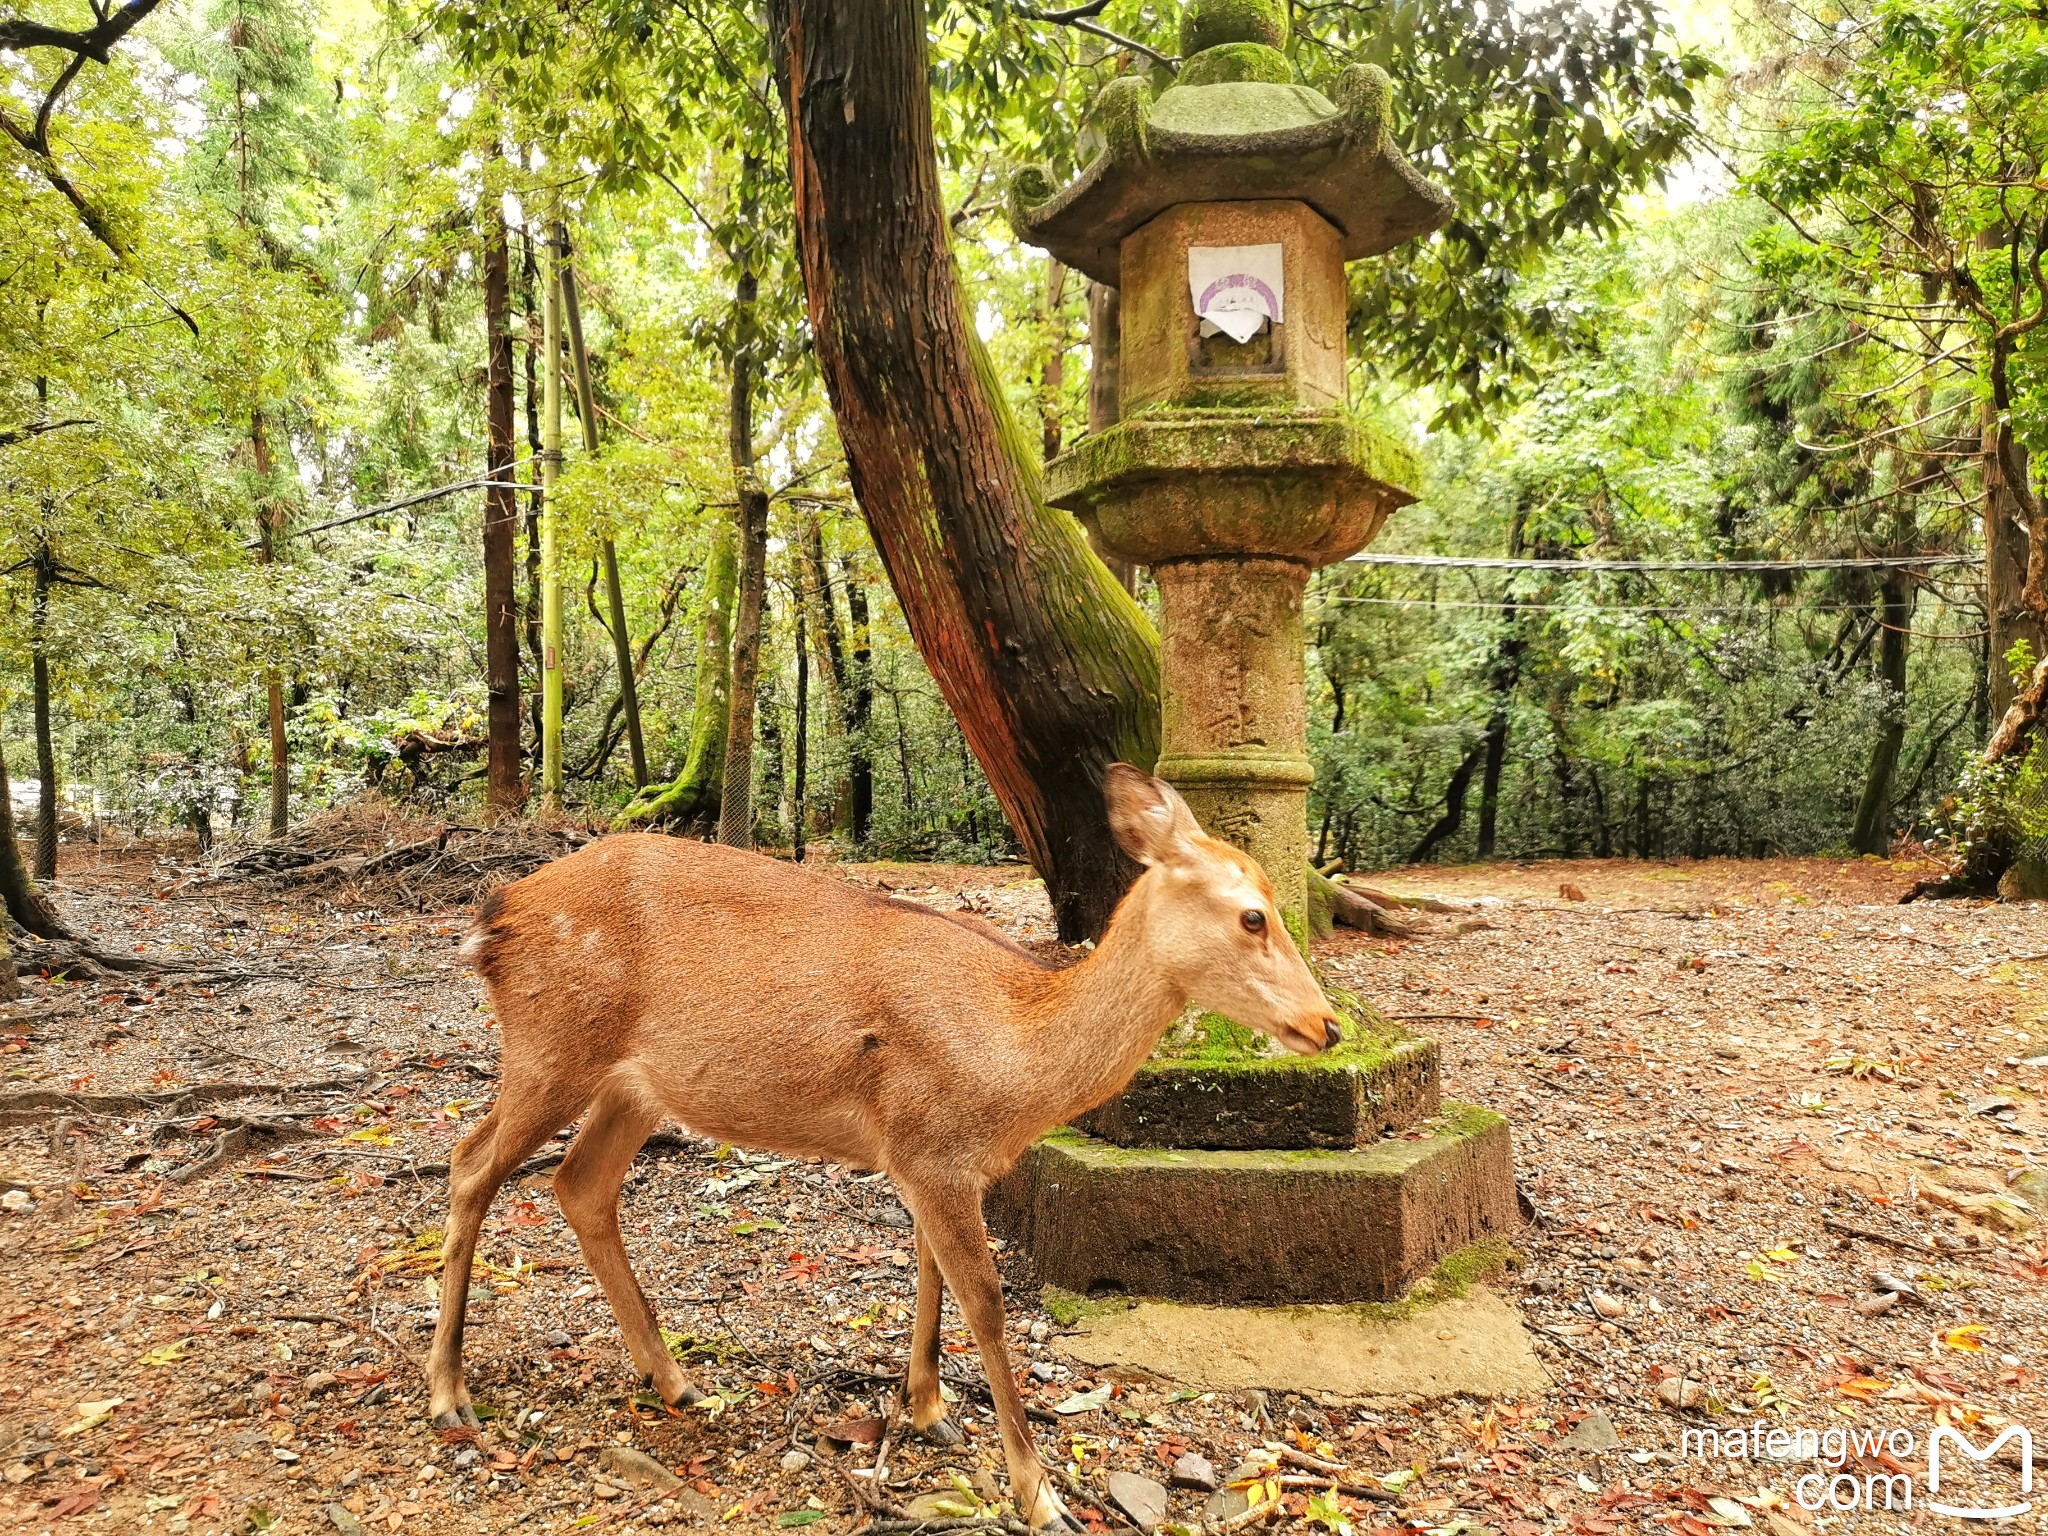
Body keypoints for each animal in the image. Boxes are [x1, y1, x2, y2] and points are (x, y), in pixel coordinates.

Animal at [428, 765, 1343, 1531]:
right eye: (1253, 914)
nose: (1327, 1025)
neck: (1019, 1062)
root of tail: (491, 920)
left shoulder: (927, 1156)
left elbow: (930, 1271)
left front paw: (931, 1411)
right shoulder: (932, 1145)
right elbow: (986, 1301)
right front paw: (1039, 1495)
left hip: (632, 1086)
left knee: (578, 1184)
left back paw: (677, 1380)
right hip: (552, 1045)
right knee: (470, 1162)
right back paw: (449, 1396)